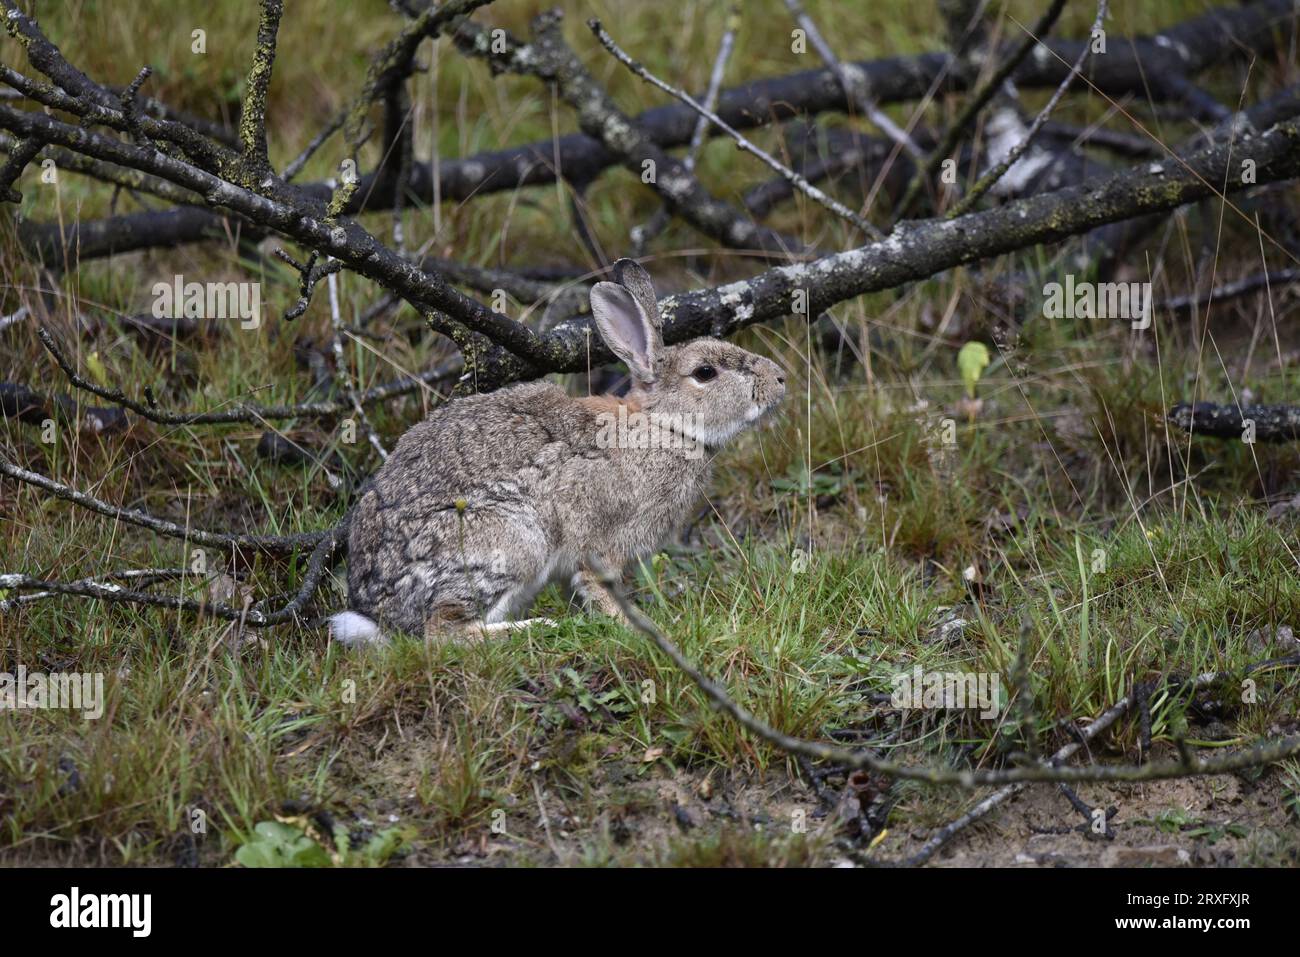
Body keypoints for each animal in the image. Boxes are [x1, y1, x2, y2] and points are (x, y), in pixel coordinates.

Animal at [330, 257, 785, 642]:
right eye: (705, 372)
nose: (779, 379)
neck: (663, 424)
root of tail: (378, 611)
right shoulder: (602, 543)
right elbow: (599, 587)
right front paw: (639, 628)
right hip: (513, 541)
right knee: (444, 633)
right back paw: (534, 627)